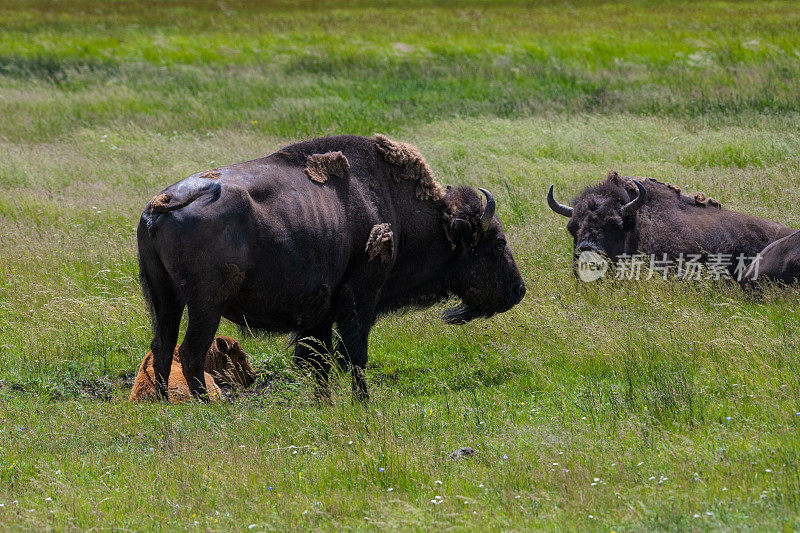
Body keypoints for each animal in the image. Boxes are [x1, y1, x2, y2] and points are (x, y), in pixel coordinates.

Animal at [138, 135, 524, 402]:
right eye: (497, 242)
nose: (519, 290)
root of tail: (163, 203)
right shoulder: (361, 296)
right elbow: (354, 354)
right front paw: (362, 402)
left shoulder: (320, 313)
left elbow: (320, 359)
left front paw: (324, 401)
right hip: (207, 305)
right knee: (191, 353)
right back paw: (208, 407)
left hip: (164, 298)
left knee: (162, 348)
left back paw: (166, 404)